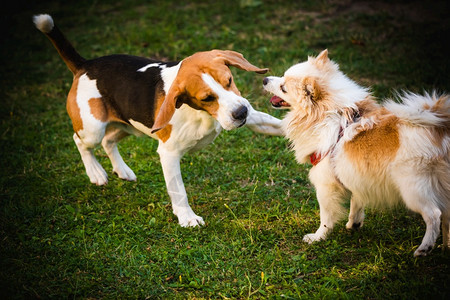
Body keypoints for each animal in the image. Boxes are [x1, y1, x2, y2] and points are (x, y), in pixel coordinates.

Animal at [34, 12, 282, 226]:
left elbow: (278, 125)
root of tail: (84, 65)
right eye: (207, 98)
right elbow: (179, 191)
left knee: (108, 141)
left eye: (229, 80)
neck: (201, 113)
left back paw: (122, 170)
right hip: (93, 128)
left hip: (128, 125)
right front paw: (187, 218)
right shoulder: (169, 153)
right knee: (80, 141)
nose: (241, 113)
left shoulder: (253, 117)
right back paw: (95, 172)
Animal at [262, 50, 448, 256]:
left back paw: (424, 248)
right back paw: (446, 245)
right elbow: (356, 201)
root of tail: (439, 128)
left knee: (434, 214)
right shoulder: (355, 173)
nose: (264, 79)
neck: (330, 115)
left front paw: (318, 237)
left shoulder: (325, 185)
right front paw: (354, 224)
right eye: (282, 77)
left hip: (413, 187)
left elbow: (326, 216)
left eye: (283, 87)